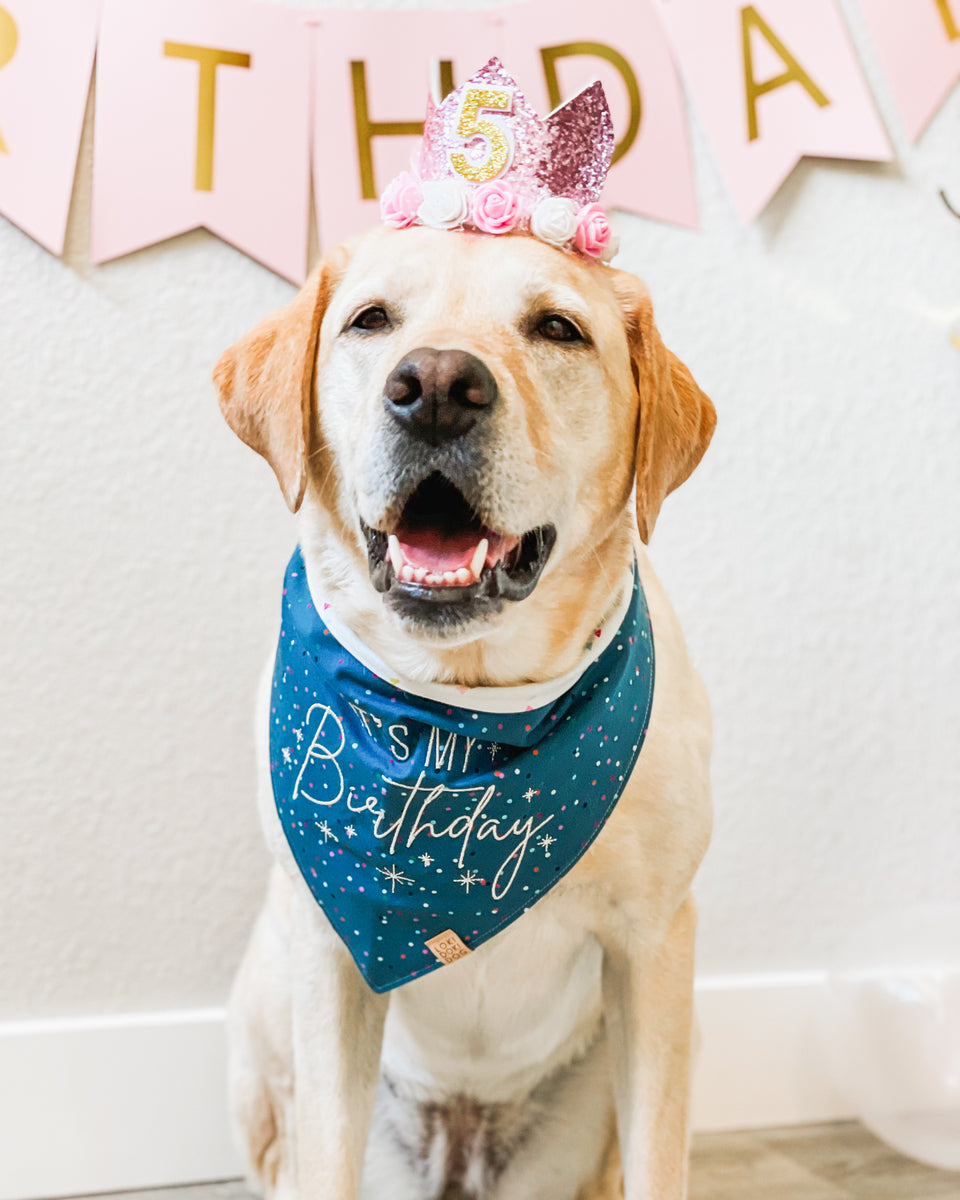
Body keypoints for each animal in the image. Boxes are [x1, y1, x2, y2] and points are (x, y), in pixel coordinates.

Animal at [216, 226, 710, 1200]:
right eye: (370, 320)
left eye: (557, 328)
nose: (438, 387)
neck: (460, 717)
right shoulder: (330, 955)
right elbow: (326, 1149)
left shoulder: (653, 947)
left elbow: (660, 1159)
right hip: (260, 1024)